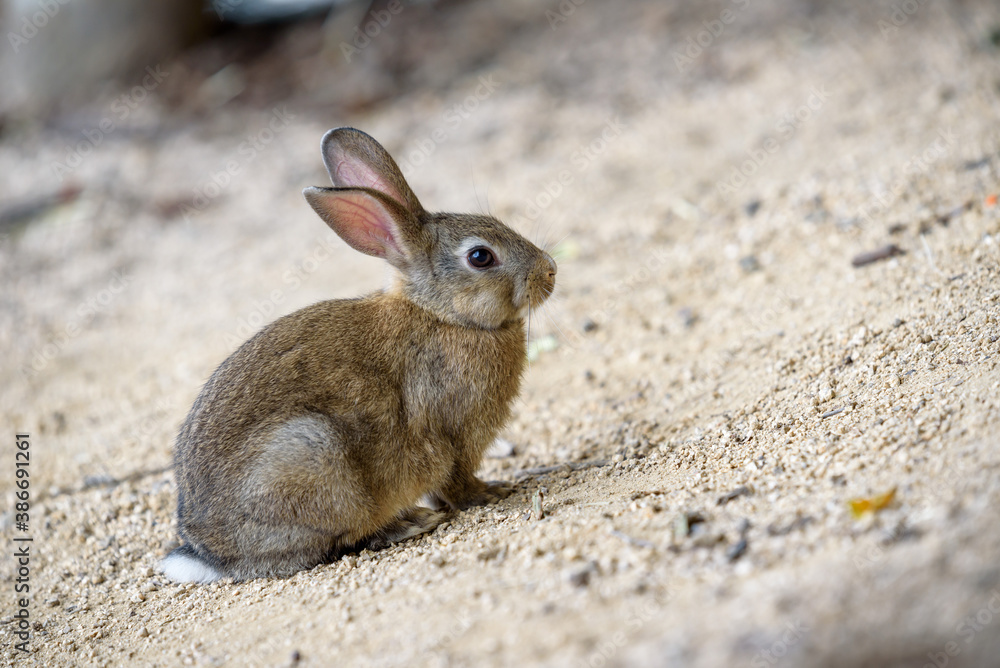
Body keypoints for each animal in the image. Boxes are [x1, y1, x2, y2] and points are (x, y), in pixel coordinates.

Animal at [159, 127, 557, 583]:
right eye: (480, 256)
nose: (550, 270)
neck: (442, 315)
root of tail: (208, 553)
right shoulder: (453, 436)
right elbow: (455, 481)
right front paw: (491, 492)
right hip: (312, 457)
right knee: (337, 541)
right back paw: (407, 523)